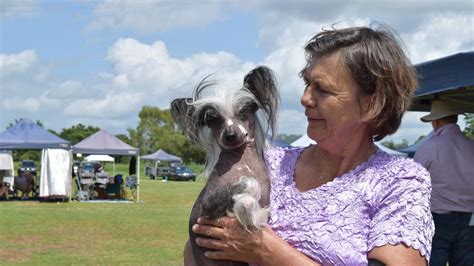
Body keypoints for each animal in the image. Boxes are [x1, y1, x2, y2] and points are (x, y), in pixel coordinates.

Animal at [171, 65, 278, 264]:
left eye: (243, 111)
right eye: (213, 119)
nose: (230, 135)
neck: (242, 164)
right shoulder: (208, 204)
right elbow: (248, 186)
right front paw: (252, 210)